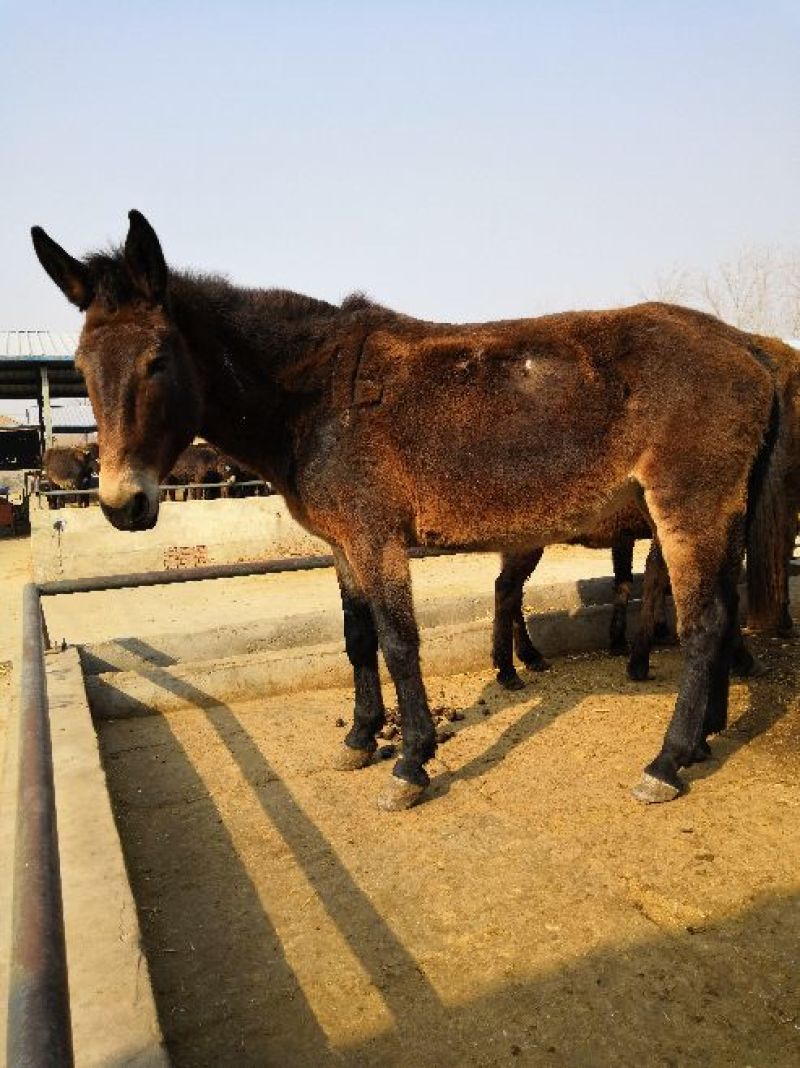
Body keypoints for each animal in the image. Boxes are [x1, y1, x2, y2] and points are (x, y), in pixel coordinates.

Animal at [31, 210, 789, 811]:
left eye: (157, 361)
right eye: (80, 367)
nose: (121, 505)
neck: (313, 396)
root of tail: (746, 345)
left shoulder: (376, 539)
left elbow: (398, 642)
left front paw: (410, 762)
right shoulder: (342, 545)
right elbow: (357, 638)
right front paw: (361, 737)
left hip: (689, 509)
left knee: (702, 625)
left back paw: (666, 761)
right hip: (717, 515)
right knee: (721, 616)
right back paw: (705, 738)